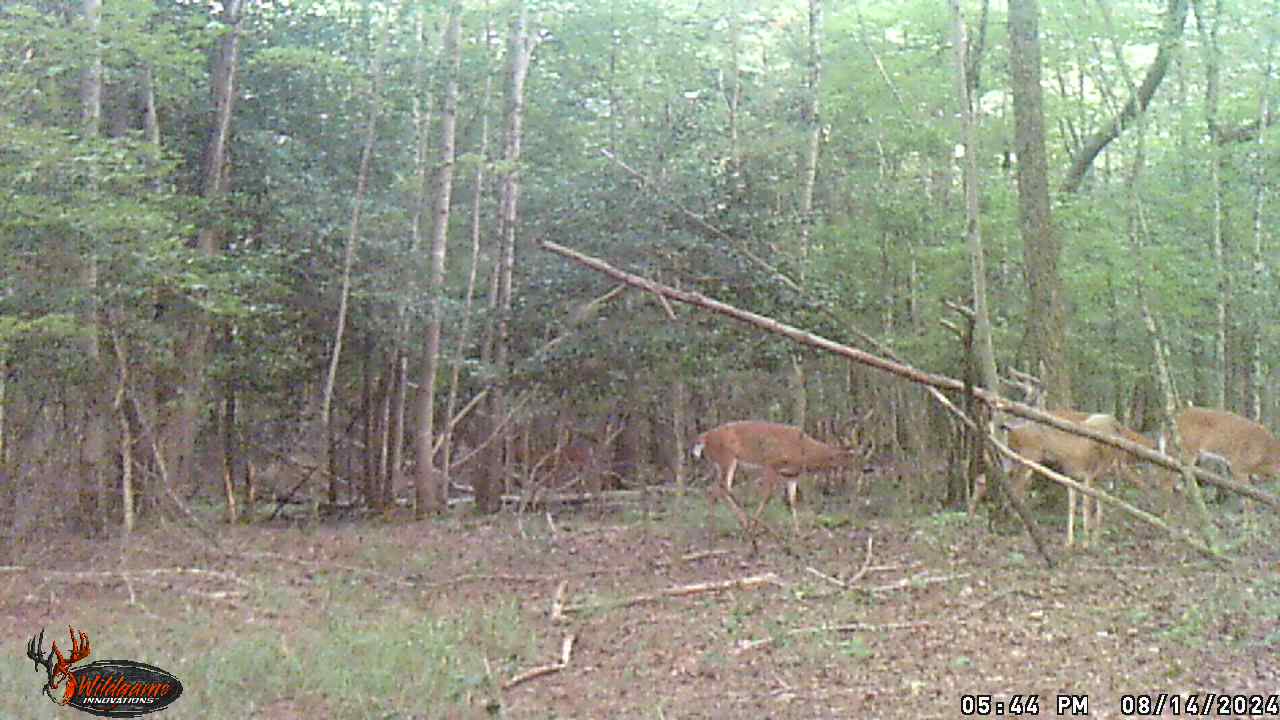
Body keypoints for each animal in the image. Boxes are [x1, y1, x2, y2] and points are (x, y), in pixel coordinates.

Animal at [691, 417, 860, 535]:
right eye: (850, 458)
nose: (862, 469)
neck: (804, 451)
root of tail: (704, 438)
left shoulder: (792, 475)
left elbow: (792, 500)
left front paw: (798, 532)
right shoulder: (771, 464)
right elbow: (767, 496)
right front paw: (755, 525)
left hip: (719, 463)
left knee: (714, 489)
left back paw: (718, 528)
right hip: (727, 458)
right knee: (722, 488)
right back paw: (742, 525)